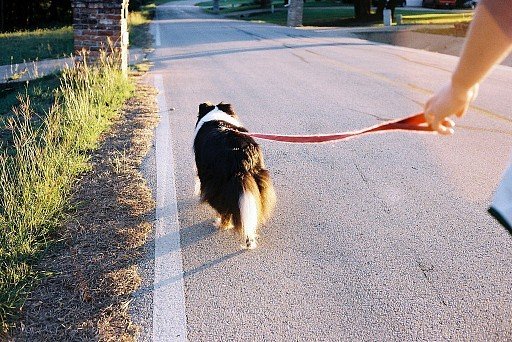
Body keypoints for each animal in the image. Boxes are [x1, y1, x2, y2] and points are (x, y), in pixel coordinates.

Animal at [194, 101, 276, 248]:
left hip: (218, 184)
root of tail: (243, 154)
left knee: (224, 210)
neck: (217, 117)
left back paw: (222, 224)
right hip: (259, 180)